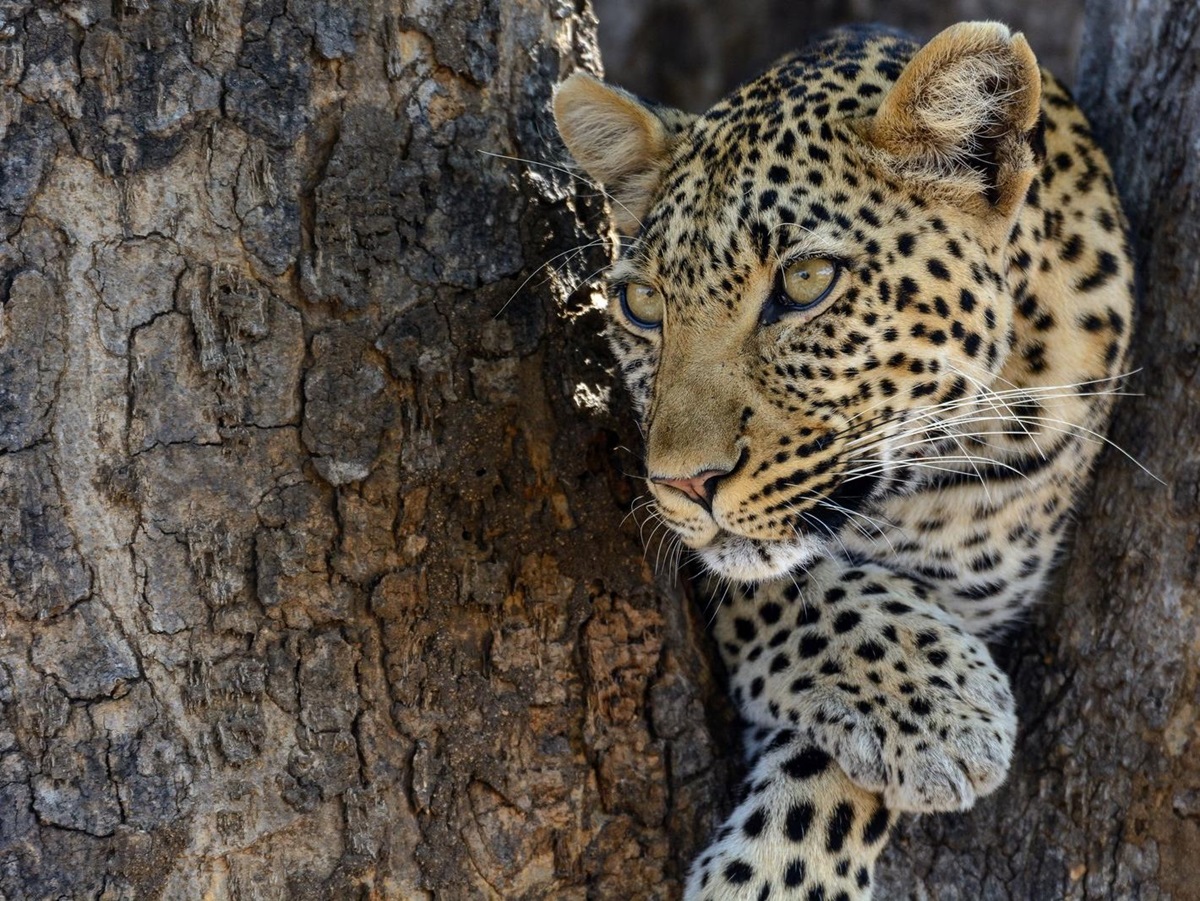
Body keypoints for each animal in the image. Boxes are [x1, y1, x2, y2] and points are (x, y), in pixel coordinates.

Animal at [552, 20, 1134, 901]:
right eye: (643, 304)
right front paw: (942, 705)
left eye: (806, 281)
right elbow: (790, 588)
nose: (682, 482)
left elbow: (826, 780)